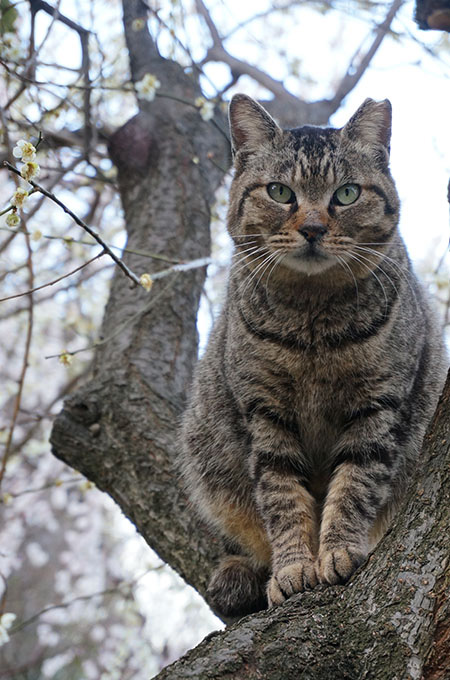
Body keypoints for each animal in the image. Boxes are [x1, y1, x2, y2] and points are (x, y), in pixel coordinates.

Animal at [179, 95, 446, 620]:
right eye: (280, 192)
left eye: (346, 194)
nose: (314, 228)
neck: (312, 324)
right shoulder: (265, 413)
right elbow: (283, 498)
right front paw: (293, 568)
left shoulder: (378, 405)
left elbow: (354, 486)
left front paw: (338, 549)